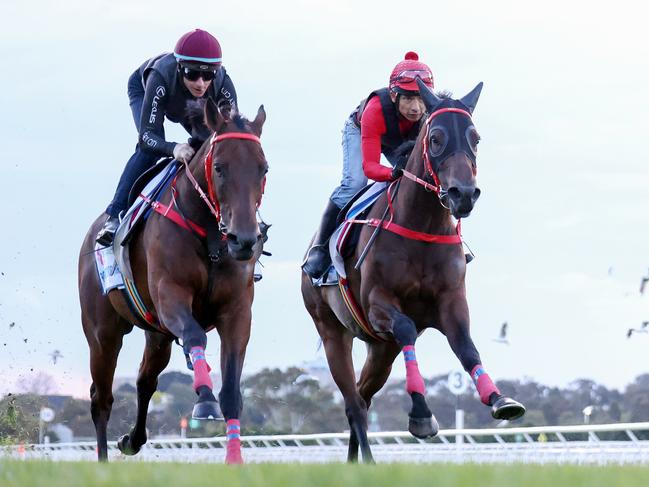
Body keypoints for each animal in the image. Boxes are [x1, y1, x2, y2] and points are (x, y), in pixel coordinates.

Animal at [79, 100, 268, 466]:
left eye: (263, 169)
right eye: (219, 167)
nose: (244, 240)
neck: (210, 235)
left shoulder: (237, 311)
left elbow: (232, 390)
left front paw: (234, 459)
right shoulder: (171, 295)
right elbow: (195, 335)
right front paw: (204, 400)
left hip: (158, 334)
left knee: (145, 381)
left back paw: (131, 440)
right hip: (103, 332)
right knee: (101, 398)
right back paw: (103, 462)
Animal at [302, 81, 524, 466]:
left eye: (476, 137)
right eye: (435, 138)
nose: (464, 194)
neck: (422, 225)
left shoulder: (451, 302)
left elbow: (467, 347)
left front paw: (500, 399)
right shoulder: (379, 305)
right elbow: (406, 327)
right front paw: (421, 414)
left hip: (382, 349)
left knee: (362, 395)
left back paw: (355, 463)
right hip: (333, 332)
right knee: (354, 402)